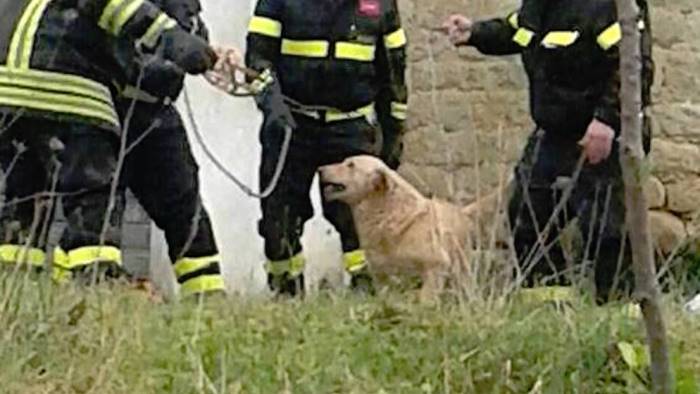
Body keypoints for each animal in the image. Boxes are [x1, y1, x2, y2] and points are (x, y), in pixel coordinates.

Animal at [318, 155, 504, 300]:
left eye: (351, 165)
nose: (320, 169)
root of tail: (460, 211)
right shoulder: (381, 275)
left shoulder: (436, 266)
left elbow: (426, 298)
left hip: (461, 268)